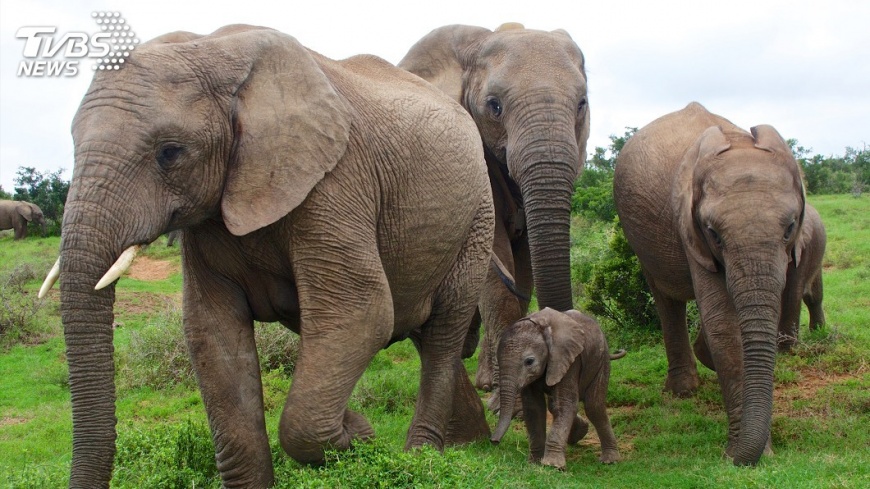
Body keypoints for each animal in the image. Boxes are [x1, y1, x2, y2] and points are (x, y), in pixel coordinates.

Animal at [40, 25, 495, 488]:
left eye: (170, 152)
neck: (214, 50)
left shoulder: (336, 182)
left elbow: (360, 313)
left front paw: (361, 438)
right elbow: (212, 334)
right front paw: (357, 431)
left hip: (478, 216)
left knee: (441, 334)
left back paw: (424, 456)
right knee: (421, 330)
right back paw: (467, 441)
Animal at [490, 308, 623, 469]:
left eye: (529, 361)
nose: (494, 441)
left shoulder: (569, 359)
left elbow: (564, 405)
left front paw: (552, 465)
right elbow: (534, 408)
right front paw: (535, 462)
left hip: (601, 360)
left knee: (593, 406)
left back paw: (610, 460)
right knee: (556, 406)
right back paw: (580, 433)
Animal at [613, 102, 809, 465]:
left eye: (790, 227)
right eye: (714, 233)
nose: (735, 460)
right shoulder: (689, 226)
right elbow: (723, 325)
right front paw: (749, 452)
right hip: (640, 241)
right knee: (666, 299)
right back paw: (683, 390)